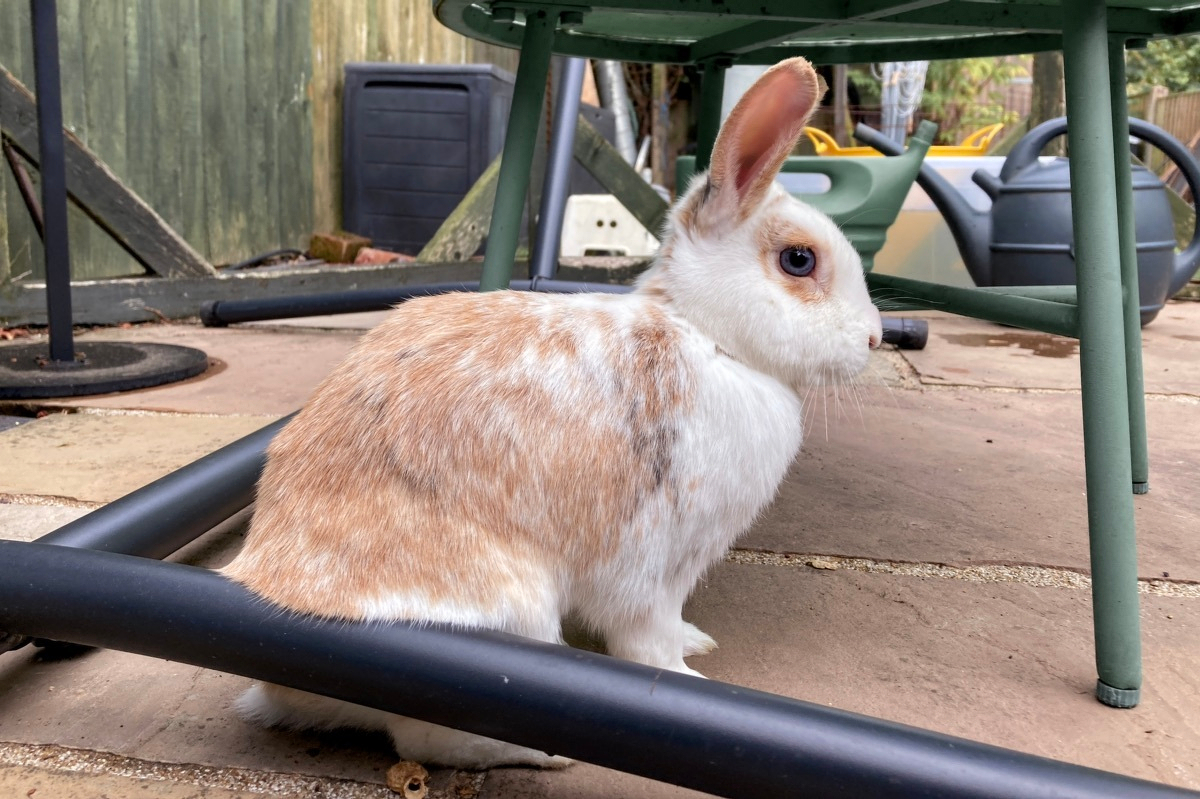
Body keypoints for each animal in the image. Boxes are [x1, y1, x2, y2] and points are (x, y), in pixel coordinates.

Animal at [221, 56, 883, 770]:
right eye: (798, 260)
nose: (877, 338)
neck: (707, 335)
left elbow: (672, 625)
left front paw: (697, 641)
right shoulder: (650, 568)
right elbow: (647, 641)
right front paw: (685, 677)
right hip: (515, 615)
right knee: (427, 738)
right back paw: (546, 755)